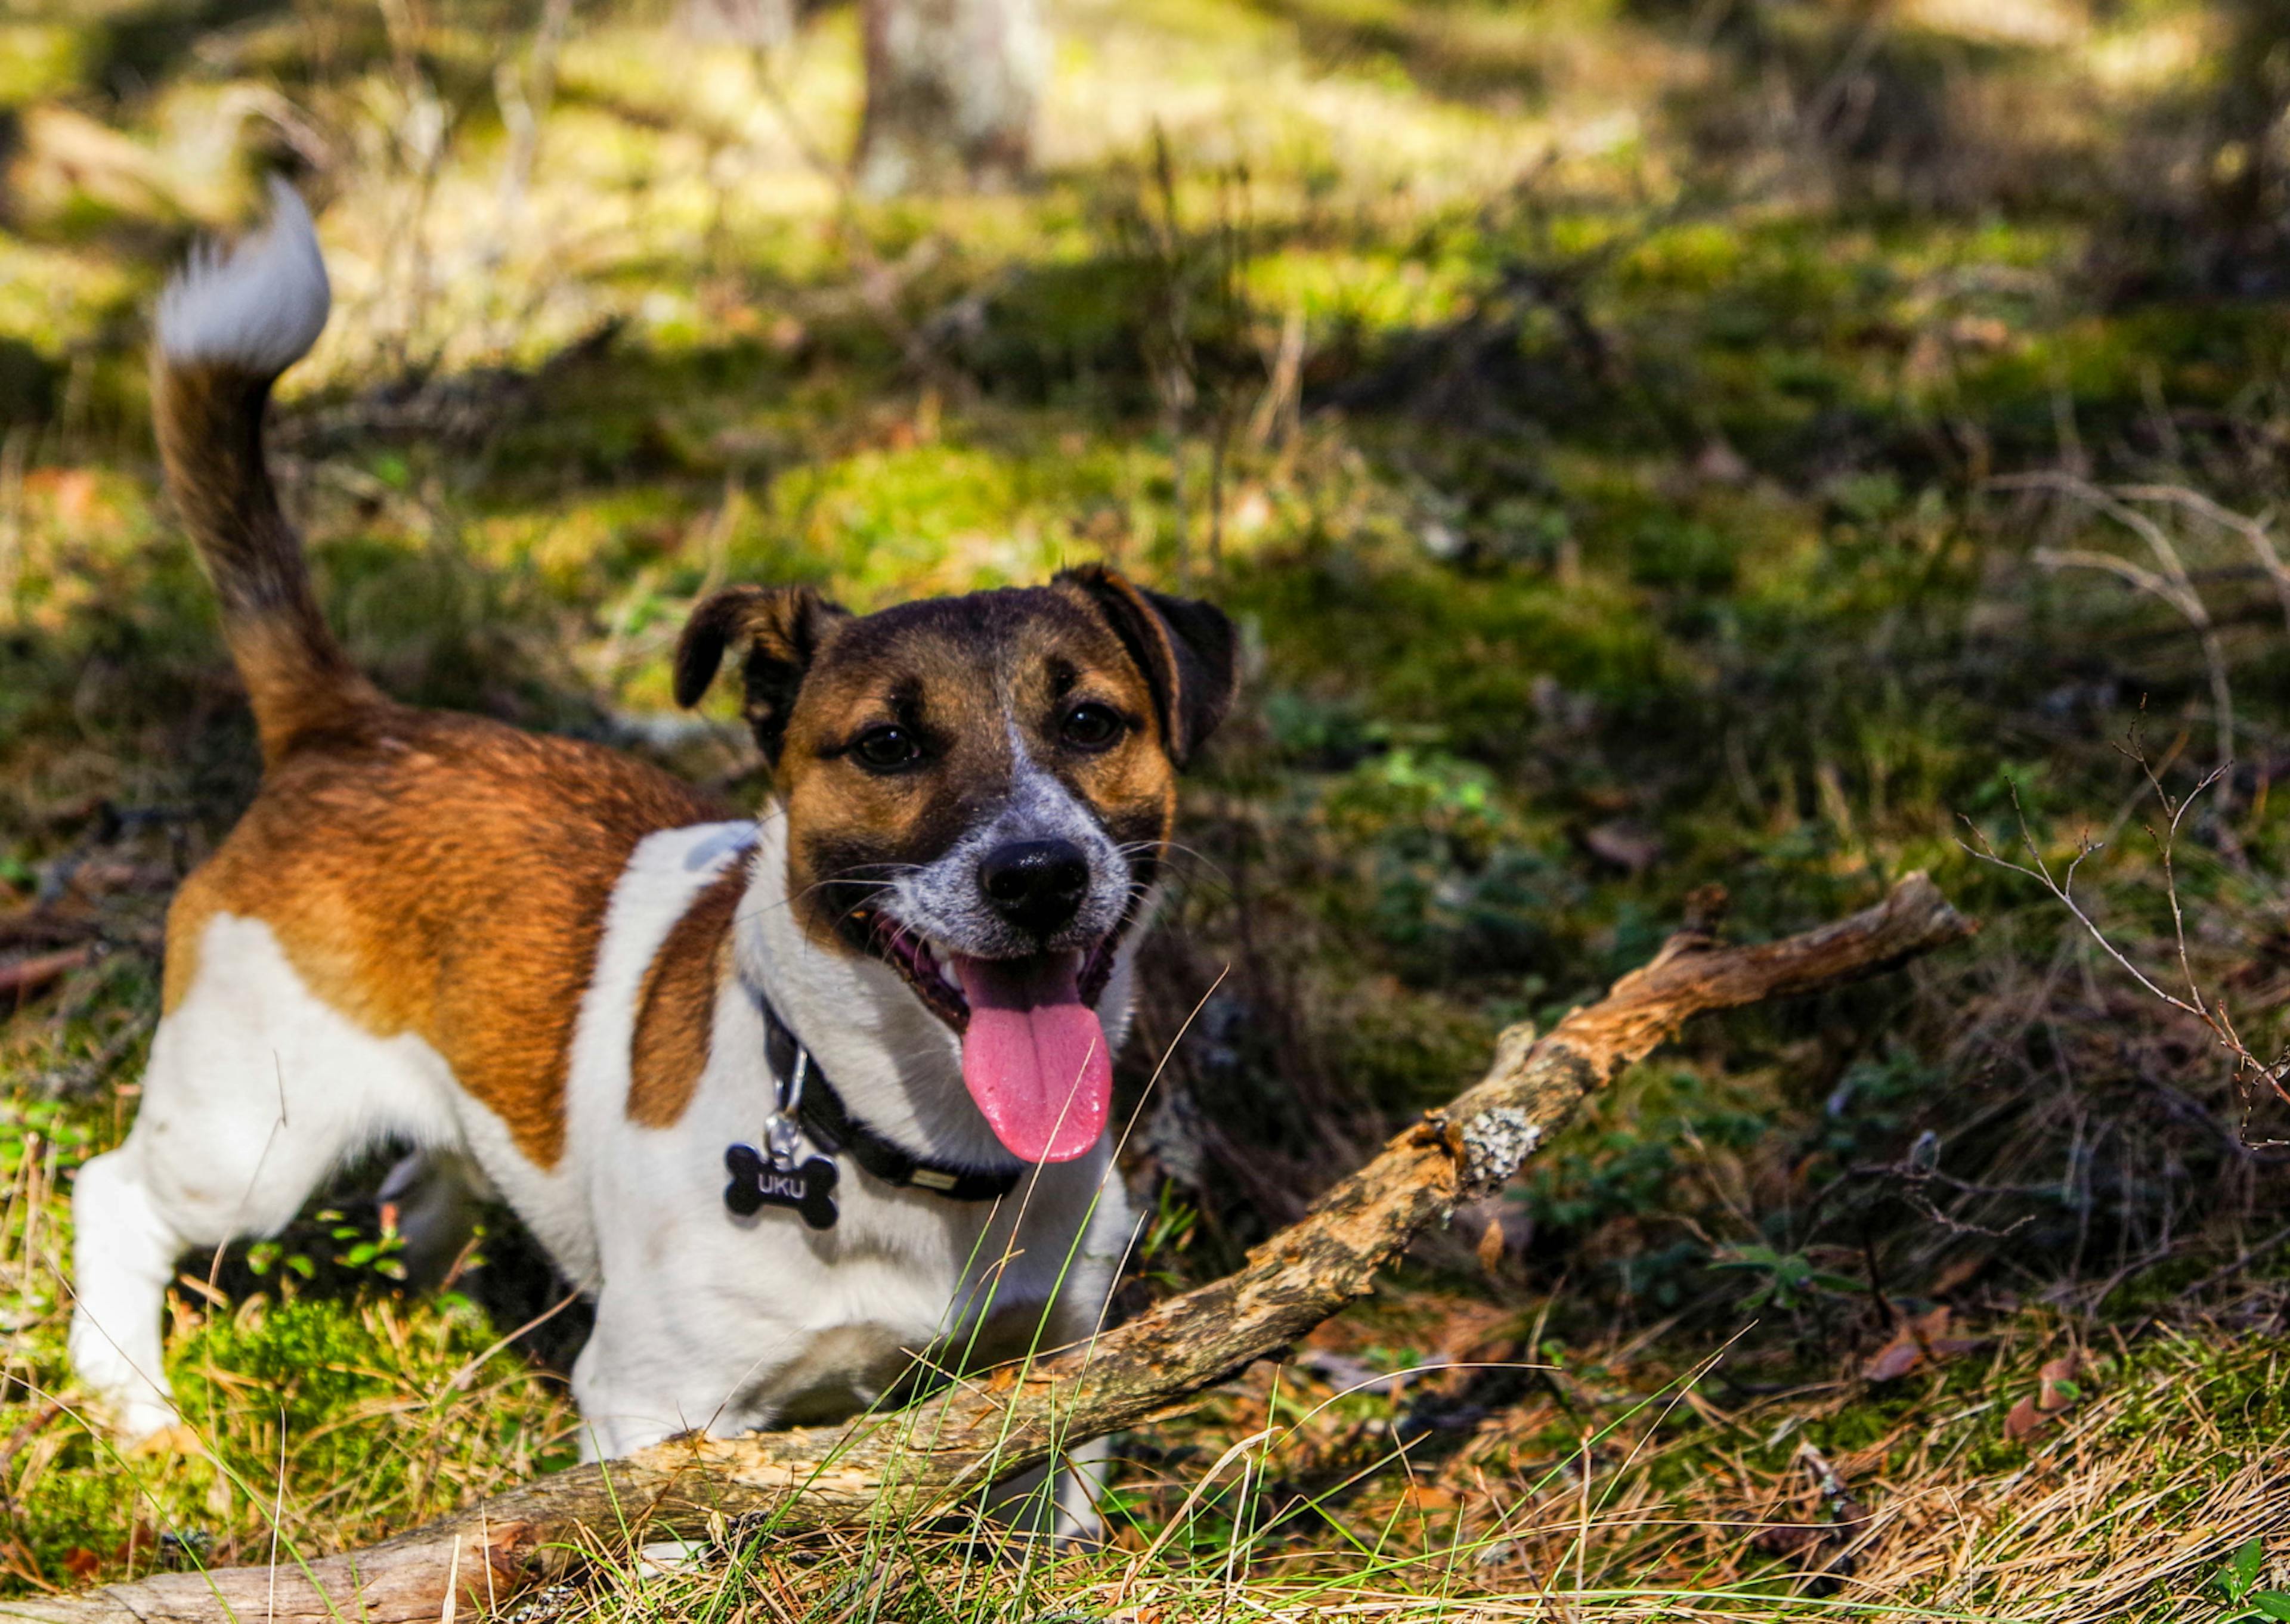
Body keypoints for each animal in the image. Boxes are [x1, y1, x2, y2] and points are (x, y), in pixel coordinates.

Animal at [67, 187, 1236, 1493]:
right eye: (887, 746)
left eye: (1091, 723)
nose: (1038, 875)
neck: (900, 1142)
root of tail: (349, 723)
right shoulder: (653, 1415)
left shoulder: (1058, 1365)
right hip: (247, 1141)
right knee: (116, 1192)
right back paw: (131, 1397)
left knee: (433, 1172)